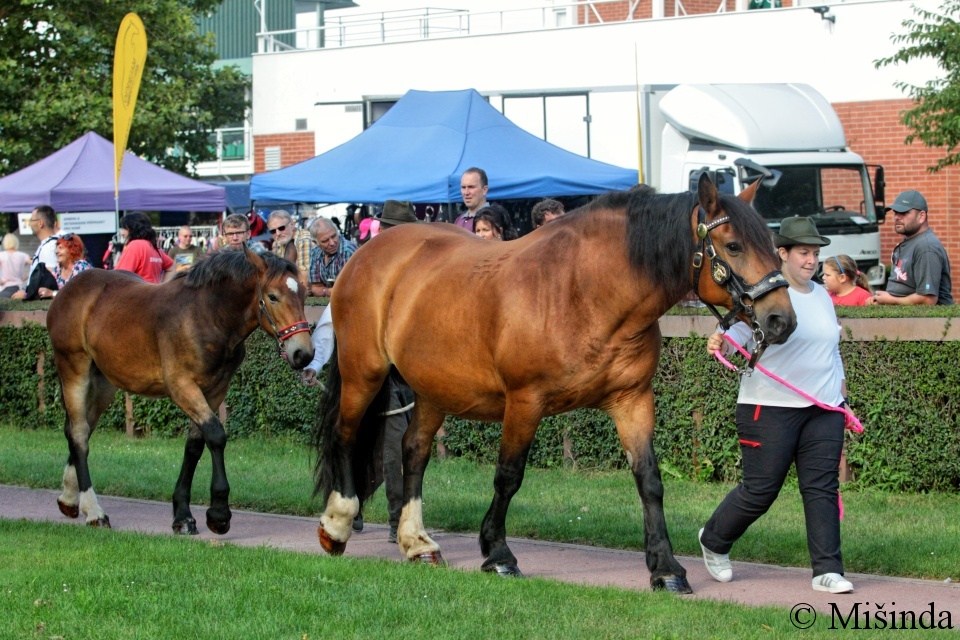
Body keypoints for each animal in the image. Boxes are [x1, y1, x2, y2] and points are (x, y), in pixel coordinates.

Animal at [47, 249, 314, 536]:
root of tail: (67, 290)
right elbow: (216, 436)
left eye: (304, 294)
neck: (206, 316)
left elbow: (195, 445)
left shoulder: (215, 390)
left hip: (104, 383)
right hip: (74, 369)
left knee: (80, 429)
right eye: (273, 296)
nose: (303, 353)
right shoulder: (181, 386)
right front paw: (218, 514)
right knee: (79, 433)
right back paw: (94, 511)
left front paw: (182, 515)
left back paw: (69, 498)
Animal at [316, 174, 796, 592]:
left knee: (413, 452)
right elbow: (508, 476)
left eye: (773, 247)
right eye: (733, 245)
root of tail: (368, 253)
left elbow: (649, 480)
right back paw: (336, 525)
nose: (781, 320)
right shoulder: (525, 401)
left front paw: (665, 567)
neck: (583, 291)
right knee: (344, 435)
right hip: (364, 373)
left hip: (434, 388)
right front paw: (498, 554)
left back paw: (417, 542)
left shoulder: (632, 400)